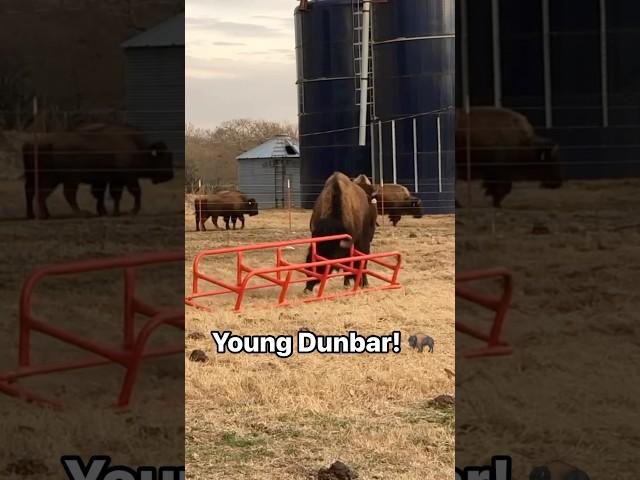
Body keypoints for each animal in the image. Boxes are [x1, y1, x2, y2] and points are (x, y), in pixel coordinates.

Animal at [22, 124, 172, 220]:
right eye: (163, 158)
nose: (169, 175)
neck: (137, 147)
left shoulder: (107, 180)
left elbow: (107, 195)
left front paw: (110, 212)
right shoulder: (127, 178)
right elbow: (136, 192)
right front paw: (132, 211)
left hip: (47, 177)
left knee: (35, 192)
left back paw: (36, 215)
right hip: (67, 179)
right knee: (63, 194)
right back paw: (80, 214)